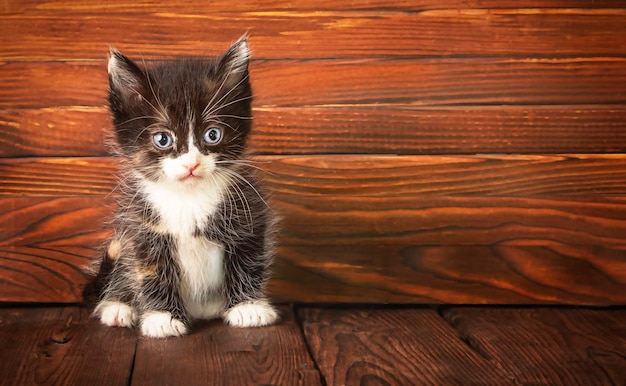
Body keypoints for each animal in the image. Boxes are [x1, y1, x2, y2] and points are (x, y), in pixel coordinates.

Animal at [91, 37, 276, 338]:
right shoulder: (141, 227)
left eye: (212, 134)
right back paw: (118, 305)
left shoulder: (248, 214)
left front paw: (248, 306)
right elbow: (150, 269)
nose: (191, 164)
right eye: (163, 139)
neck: (188, 197)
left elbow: (247, 258)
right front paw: (162, 317)